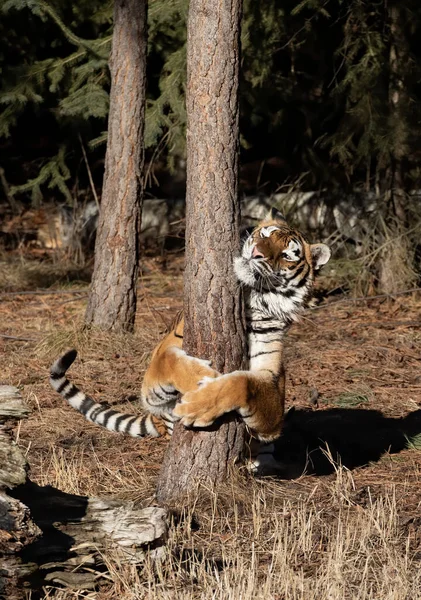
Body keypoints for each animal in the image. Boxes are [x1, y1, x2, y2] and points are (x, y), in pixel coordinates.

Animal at [50, 213, 332, 476]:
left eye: (286, 255)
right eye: (265, 234)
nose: (256, 253)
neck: (252, 302)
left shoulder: (274, 386)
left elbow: (243, 383)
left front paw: (198, 403)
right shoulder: (155, 372)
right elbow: (171, 360)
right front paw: (203, 377)